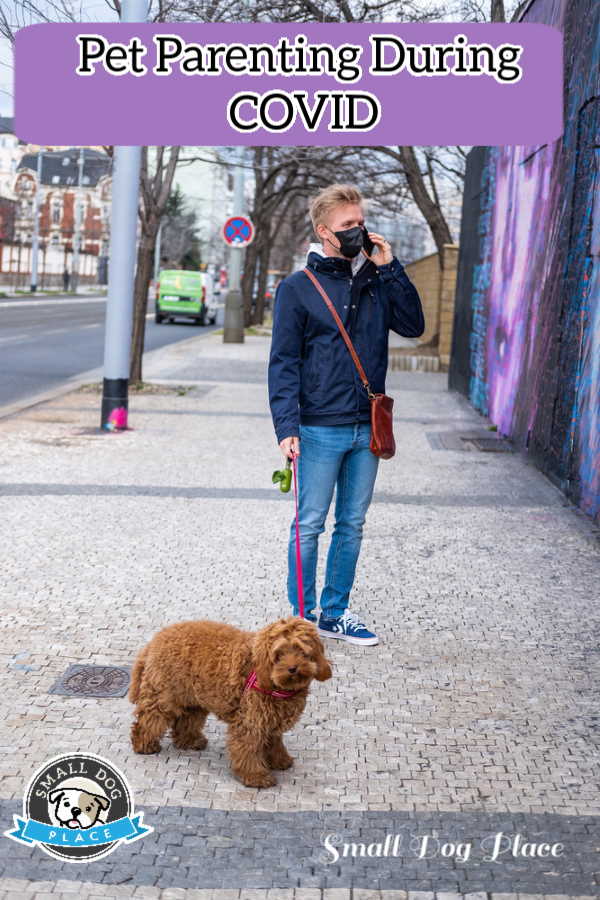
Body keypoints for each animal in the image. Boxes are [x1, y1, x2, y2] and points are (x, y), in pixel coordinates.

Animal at [129, 620, 332, 788]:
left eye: (302, 651)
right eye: (279, 654)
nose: (293, 668)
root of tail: (156, 639)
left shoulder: (270, 721)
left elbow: (274, 743)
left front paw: (279, 760)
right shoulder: (250, 722)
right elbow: (248, 750)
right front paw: (256, 776)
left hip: (193, 698)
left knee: (186, 721)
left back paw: (189, 741)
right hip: (163, 696)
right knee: (148, 721)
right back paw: (144, 744)